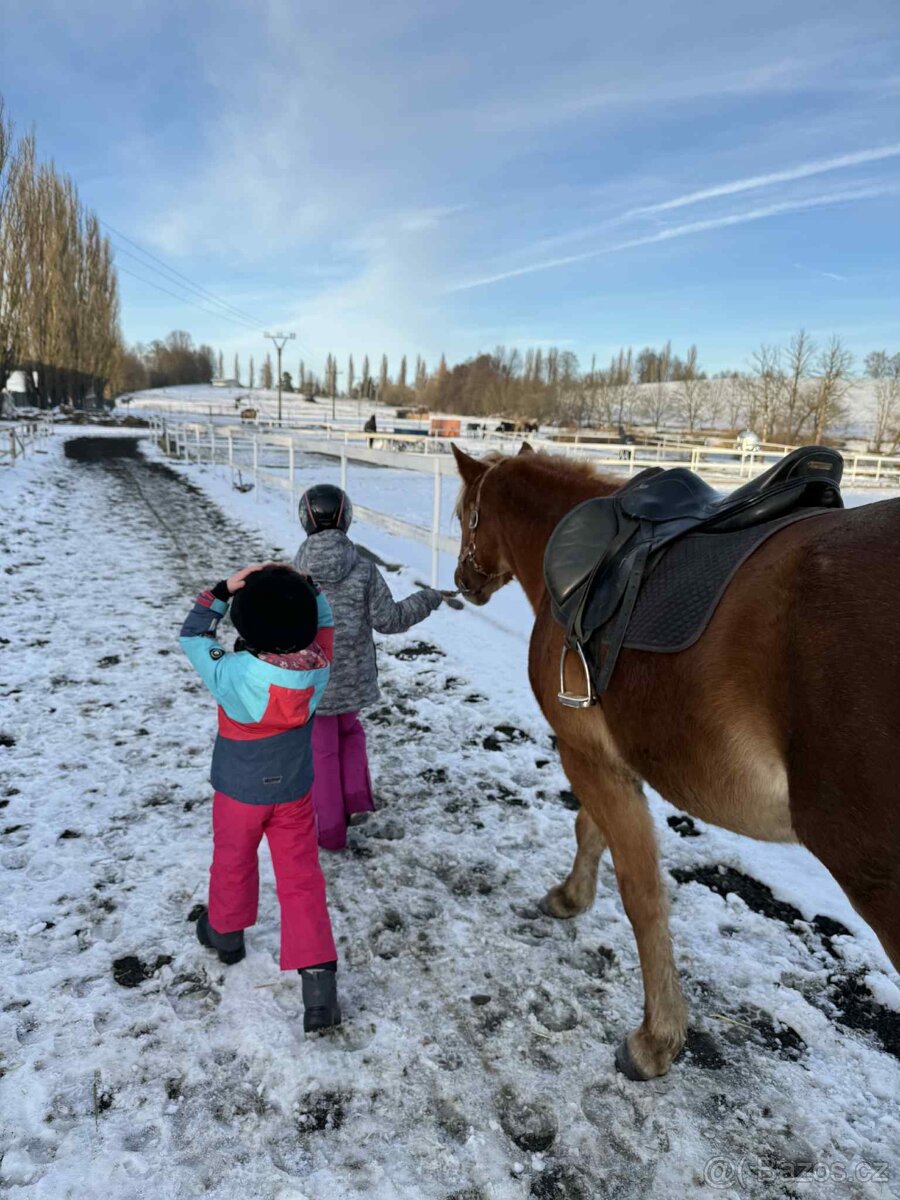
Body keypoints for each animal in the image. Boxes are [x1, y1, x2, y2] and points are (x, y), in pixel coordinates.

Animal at [451, 442, 900, 1080]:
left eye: (466, 516)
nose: (463, 580)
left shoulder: (585, 754)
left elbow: (641, 893)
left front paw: (655, 1039)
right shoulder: (611, 760)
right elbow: (591, 830)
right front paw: (571, 896)